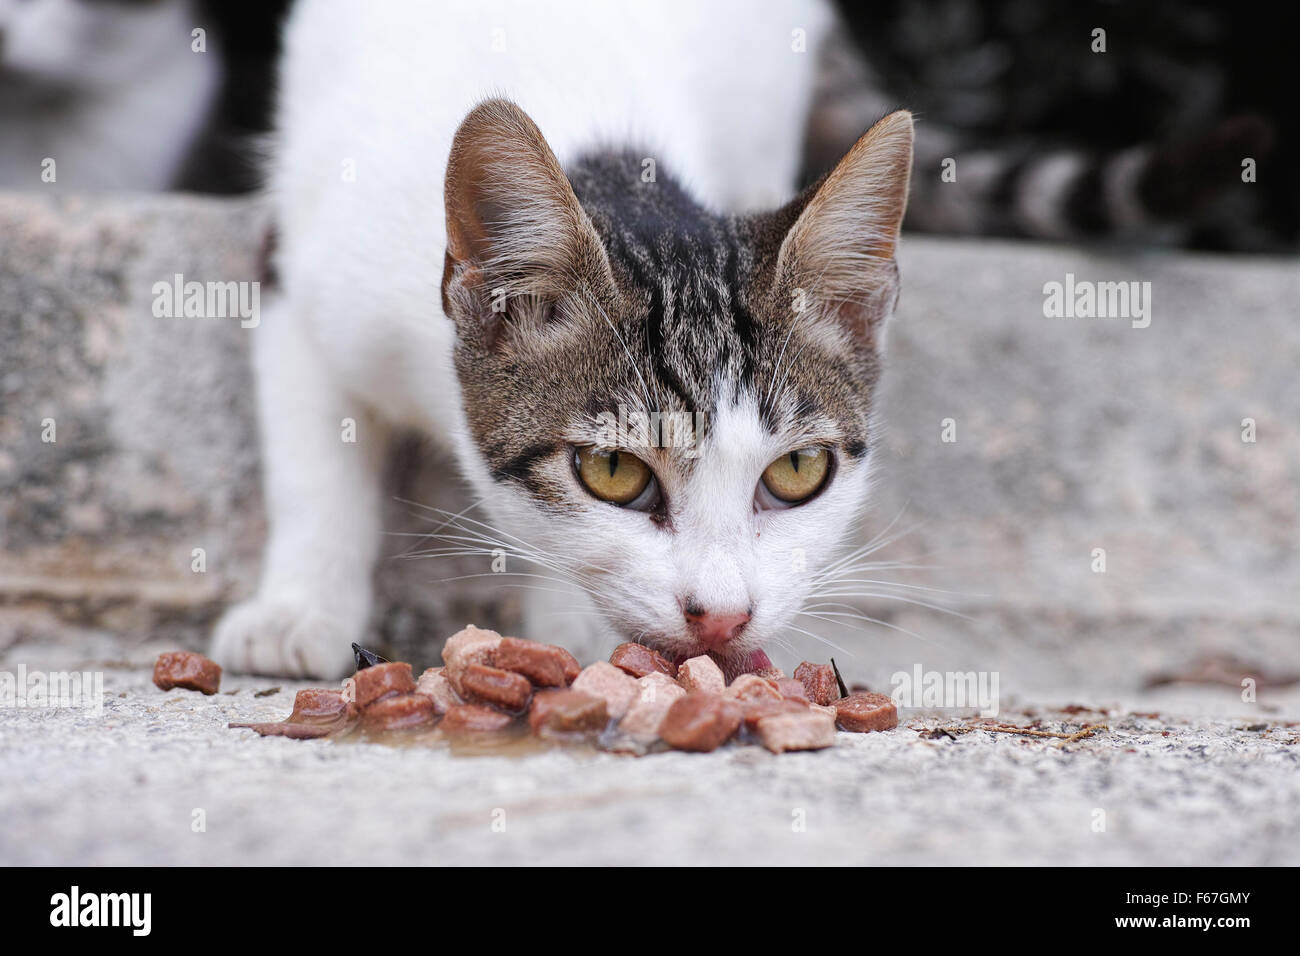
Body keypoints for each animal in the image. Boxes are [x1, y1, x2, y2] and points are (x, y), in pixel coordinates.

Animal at [213, 0, 909, 681]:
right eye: (613, 470)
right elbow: (315, 468)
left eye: (798, 469)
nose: (722, 617)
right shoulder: (306, 274)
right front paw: (296, 611)